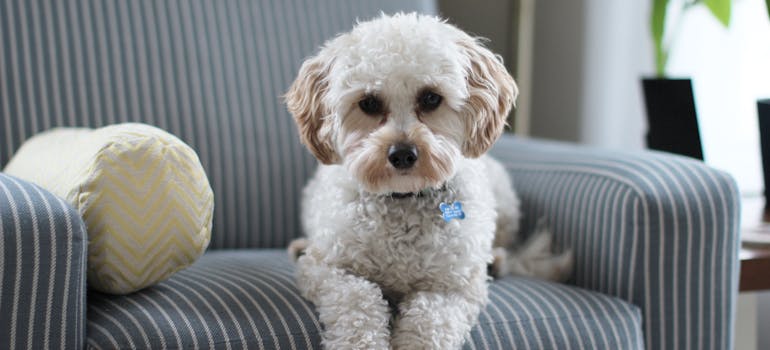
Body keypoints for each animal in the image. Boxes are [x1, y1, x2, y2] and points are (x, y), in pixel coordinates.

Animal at [282, 12, 568, 348]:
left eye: (431, 98)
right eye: (368, 103)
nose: (403, 154)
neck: (403, 199)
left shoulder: (451, 287)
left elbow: (429, 321)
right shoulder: (329, 269)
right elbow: (358, 302)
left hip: (505, 203)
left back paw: (495, 260)